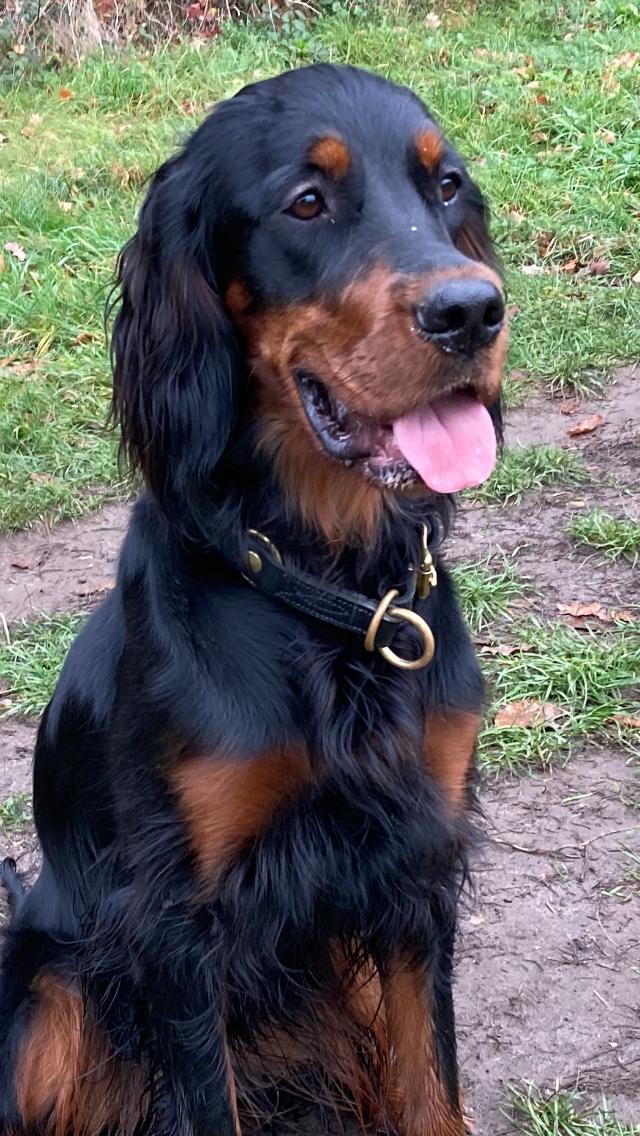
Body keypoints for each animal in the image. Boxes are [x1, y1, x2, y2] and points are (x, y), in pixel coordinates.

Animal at [0, 63, 507, 1136]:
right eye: (306, 203)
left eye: (446, 186)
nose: (473, 311)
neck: (329, 589)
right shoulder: (179, 924)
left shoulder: (416, 864)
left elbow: (430, 1089)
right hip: (51, 994)